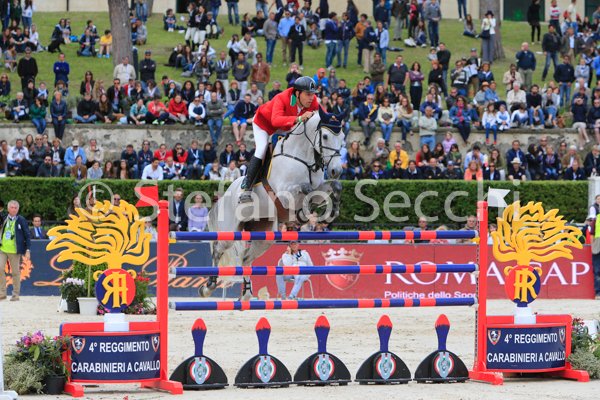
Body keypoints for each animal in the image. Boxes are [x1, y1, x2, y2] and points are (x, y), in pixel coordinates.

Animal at [200, 108, 345, 298]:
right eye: (326, 136)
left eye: (342, 137)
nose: (336, 170)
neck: (303, 158)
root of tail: (223, 198)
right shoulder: (284, 192)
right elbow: (305, 188)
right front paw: (304, 213)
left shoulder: (318, 188)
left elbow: (331, 187)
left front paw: (330, 211)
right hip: (230, 231)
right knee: (218, 248)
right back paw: (208, 287)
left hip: (264, 235)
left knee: (246, 259)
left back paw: (246, 293)